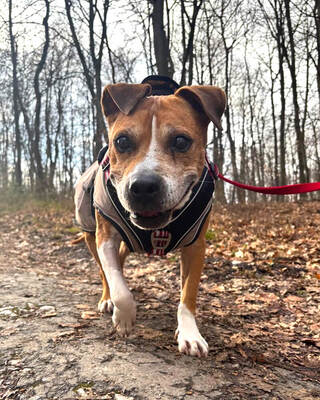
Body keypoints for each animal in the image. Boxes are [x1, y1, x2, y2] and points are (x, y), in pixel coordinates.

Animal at [74, 76, 226, 358]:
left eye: (181, 141)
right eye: (122, 141)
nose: (143, 186)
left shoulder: (196, 246)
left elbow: (188, 294)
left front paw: (189, 334)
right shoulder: (105, 238)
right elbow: (118, 285)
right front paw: (124, 317)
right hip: (90, 235)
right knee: (104, 272)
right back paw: (107, 299)